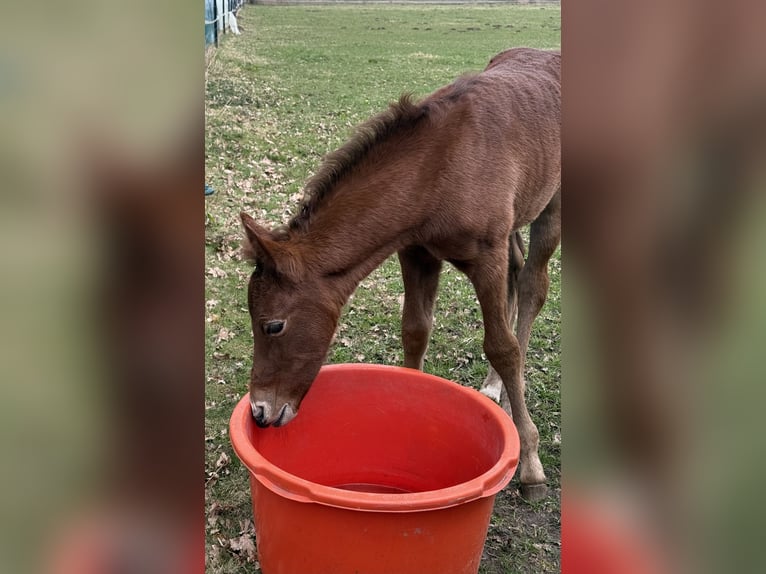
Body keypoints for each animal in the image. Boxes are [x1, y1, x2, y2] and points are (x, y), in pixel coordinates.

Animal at [240, 48, 560, 500]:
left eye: (273, 326)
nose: (260, 412)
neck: (440, 168)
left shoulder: (486, 255)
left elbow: (502, 345)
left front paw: (531, 464)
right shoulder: (416, 251)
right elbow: (415, 330)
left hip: (551, 206)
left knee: (533, 284)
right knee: (517, 270)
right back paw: (494, 385)